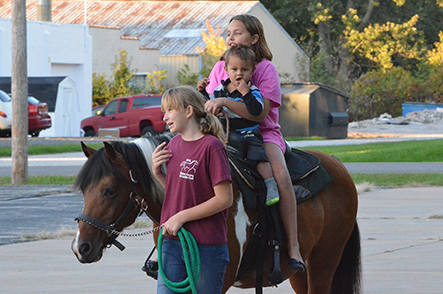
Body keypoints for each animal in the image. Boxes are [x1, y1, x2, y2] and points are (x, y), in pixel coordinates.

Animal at [72, 136, 360, 294]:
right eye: (84, 190)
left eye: (109, 190)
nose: (80, 247)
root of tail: (339, 166)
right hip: (300, 273)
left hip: (324, 262)